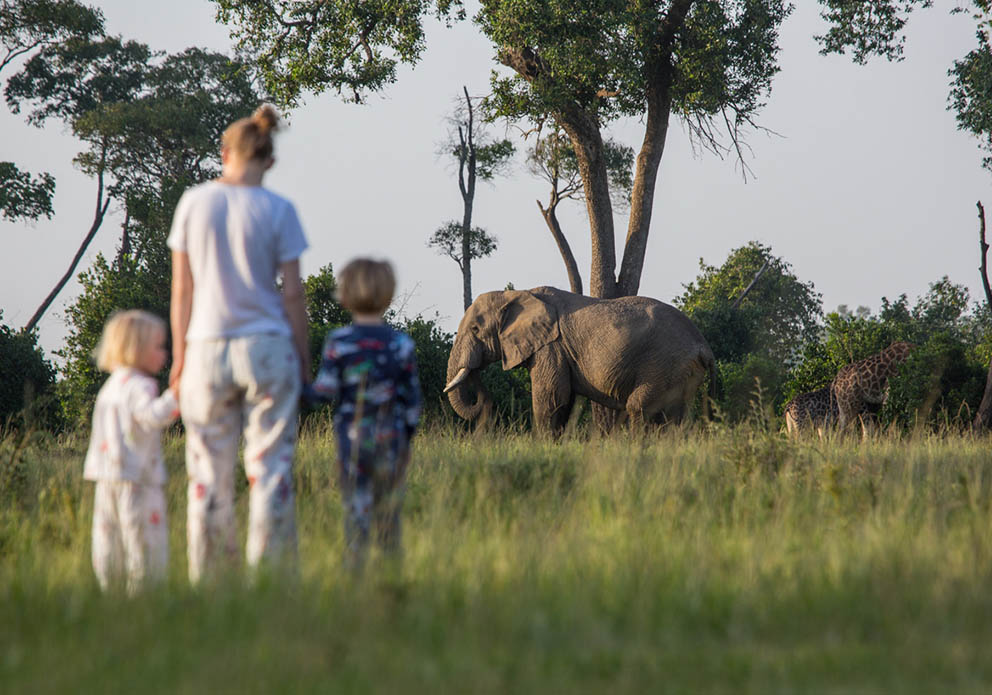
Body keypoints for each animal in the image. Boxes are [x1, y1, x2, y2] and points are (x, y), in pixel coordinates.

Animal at [446, 286, 716, 432]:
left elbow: (551, 398)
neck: (517, 294)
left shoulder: (551, 347)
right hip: (682, 371)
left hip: (666, 365)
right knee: (675, 417)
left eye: (475, 330)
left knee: (640, 408)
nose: (476, 374)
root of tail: (704, 347)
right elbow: (563, 402)